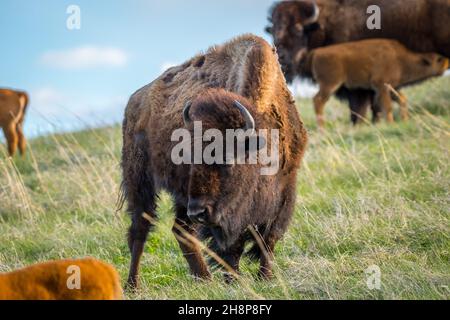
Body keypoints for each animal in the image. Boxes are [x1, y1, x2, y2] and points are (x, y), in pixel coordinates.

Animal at [306, 38, 450, 126]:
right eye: (439, 60)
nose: (447, 64)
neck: (399, 58)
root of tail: (317, 52)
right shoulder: (381, 86)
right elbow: (388, 106)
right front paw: (391, 123)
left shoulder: (391, 87)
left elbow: (402, 99)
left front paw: (404, 120)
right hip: (330, 84)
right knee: (318, 101)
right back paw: (322, 129)